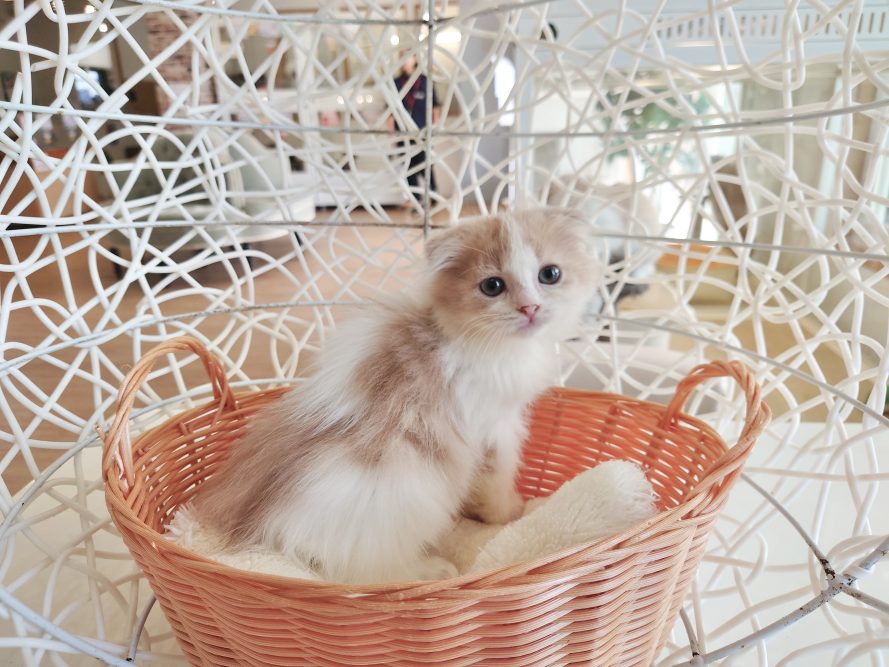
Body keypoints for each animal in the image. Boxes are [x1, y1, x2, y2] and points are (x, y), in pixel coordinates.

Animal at [187, 209, 600, 584]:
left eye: (550, 274)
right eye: (492, 286)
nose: (530, 307)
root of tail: (260, 528)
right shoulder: (495, 427)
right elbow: (498, 478)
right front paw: (510, 512)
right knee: (363, 575)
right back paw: (430, 570)